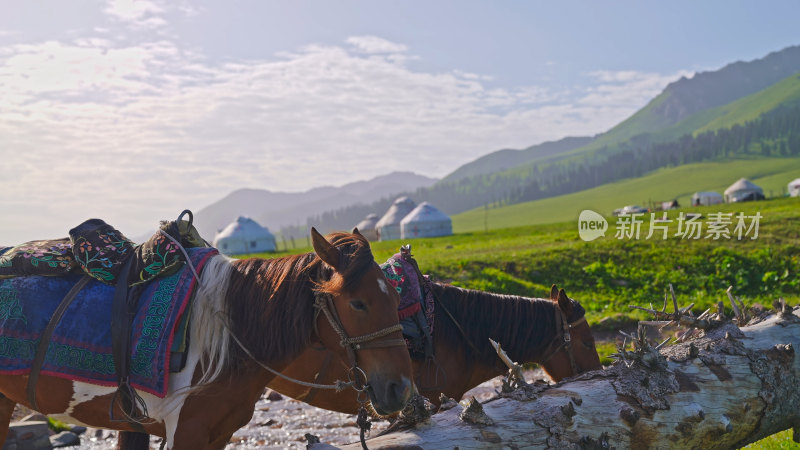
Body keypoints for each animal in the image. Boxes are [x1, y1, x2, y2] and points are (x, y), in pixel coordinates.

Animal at [0, 230, 412, 448]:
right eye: (358, 303)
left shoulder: (217, 434)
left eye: (395, 299)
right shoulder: (186, 432)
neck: (227, 339)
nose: (399, 389)